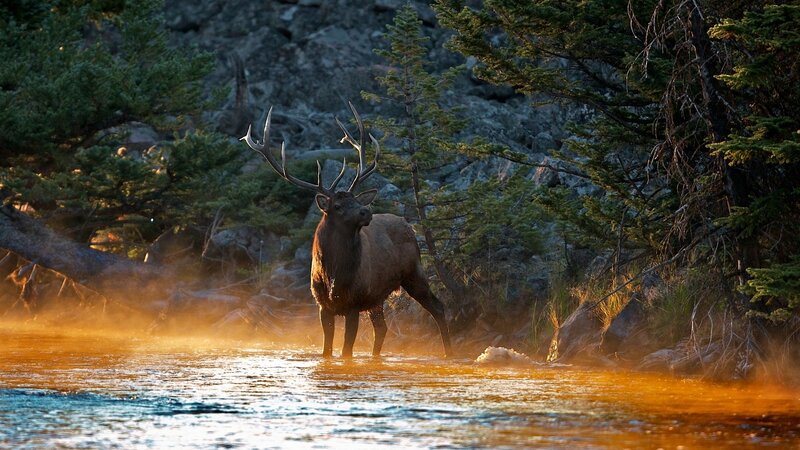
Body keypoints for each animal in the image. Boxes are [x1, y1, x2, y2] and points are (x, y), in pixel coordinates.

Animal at [242, 103, 453, 358]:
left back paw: (449, 353)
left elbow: (346, 352)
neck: (334, 274)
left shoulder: (354, 303)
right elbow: (327, 351)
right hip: (377, 297)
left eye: (356, 200)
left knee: (438, 306)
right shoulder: (323, 306)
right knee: (382, 328)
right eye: (338, 206)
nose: (366, 211)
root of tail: (407, 224)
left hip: (414, 272)